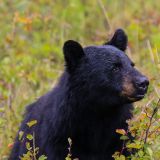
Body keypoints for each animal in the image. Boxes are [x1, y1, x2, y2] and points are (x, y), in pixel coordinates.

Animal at [9, 29, 149, 160]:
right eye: (115, 68)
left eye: (132, 64)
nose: (144, 82)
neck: (100, 112)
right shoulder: (58, 139)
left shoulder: (121, 134)